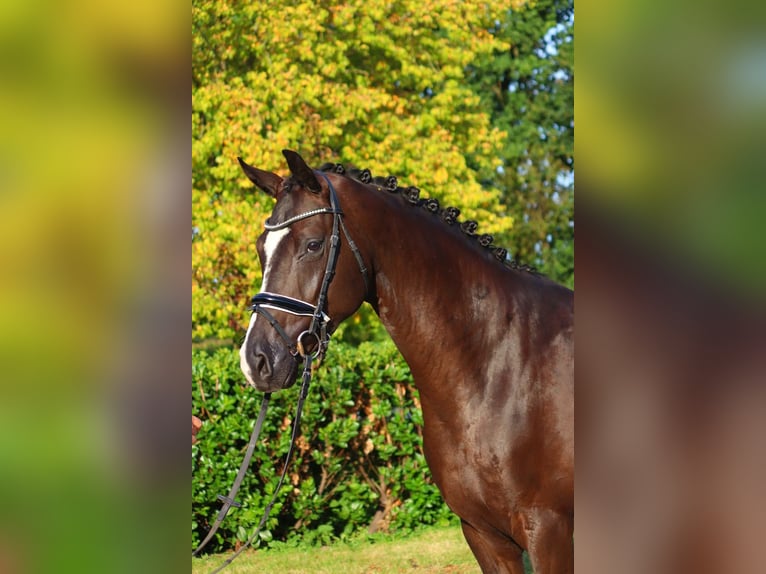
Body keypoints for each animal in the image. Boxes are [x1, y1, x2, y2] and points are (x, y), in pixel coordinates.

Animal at [237, 151, 572, 572]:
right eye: (260, 248)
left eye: (313, 245)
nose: (256, 360)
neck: (500, 366)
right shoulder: (484, 535)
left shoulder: (549, 532)